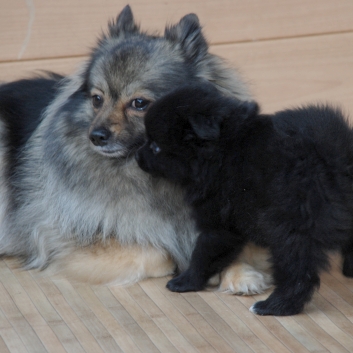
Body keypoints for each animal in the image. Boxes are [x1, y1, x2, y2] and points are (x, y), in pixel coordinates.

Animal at [135, 84, 353, 314]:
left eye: (155, 146)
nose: (137, 155)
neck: (221, 149)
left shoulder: (219, 223)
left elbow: (203, 254)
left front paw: (185, 281)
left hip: (290, 230)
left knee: (299, 273)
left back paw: (275, 305)